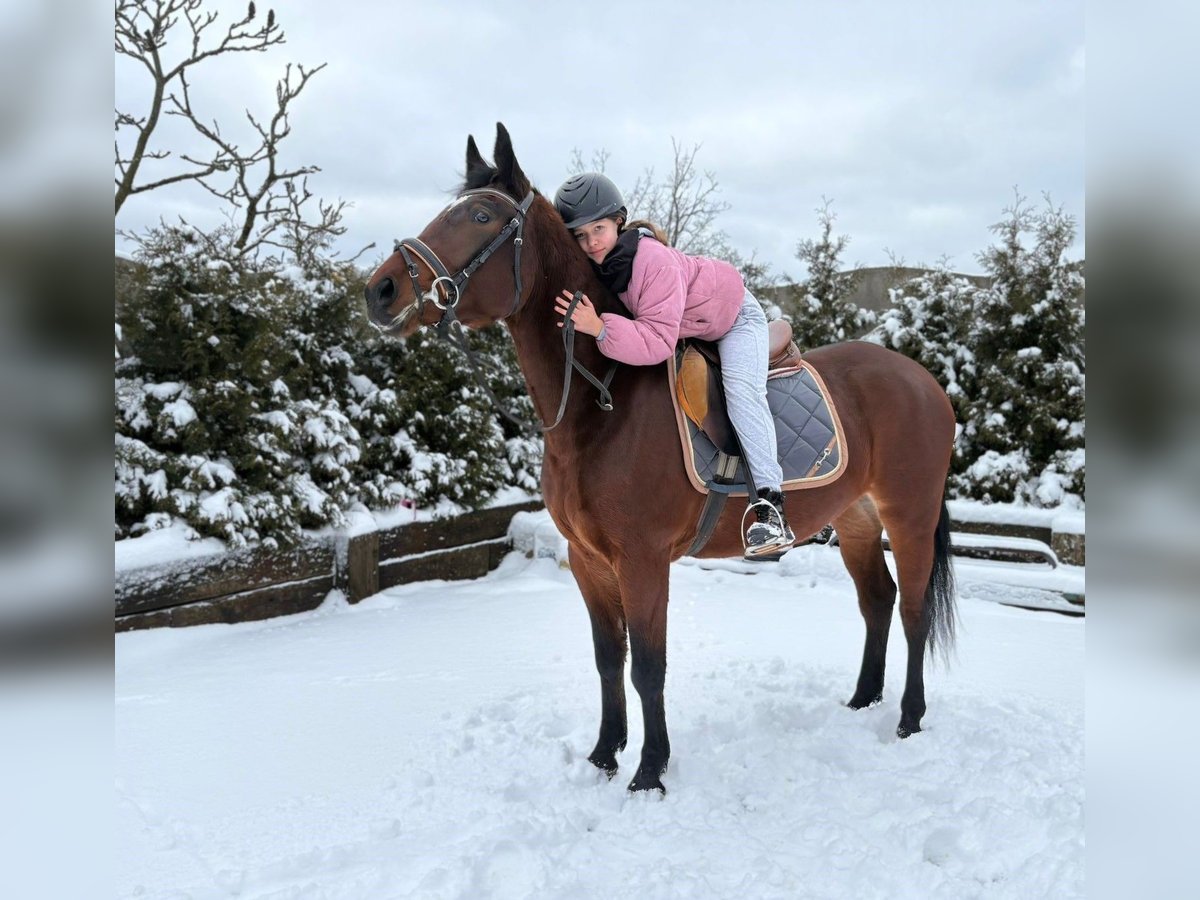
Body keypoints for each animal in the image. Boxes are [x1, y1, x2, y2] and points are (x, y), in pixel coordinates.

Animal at [362, 123, 955, 792]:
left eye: (481, 215)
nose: (380, 290)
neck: (603, 400)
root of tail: (924, 381)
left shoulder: (643, 560)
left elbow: (648, 666)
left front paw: (649, 772)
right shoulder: (590, 561)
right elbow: (608, 659)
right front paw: (604, 755)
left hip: (908, 516)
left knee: (912, 610)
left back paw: (908, 717)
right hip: (855, 517)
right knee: (877, 602)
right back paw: (862, 700)